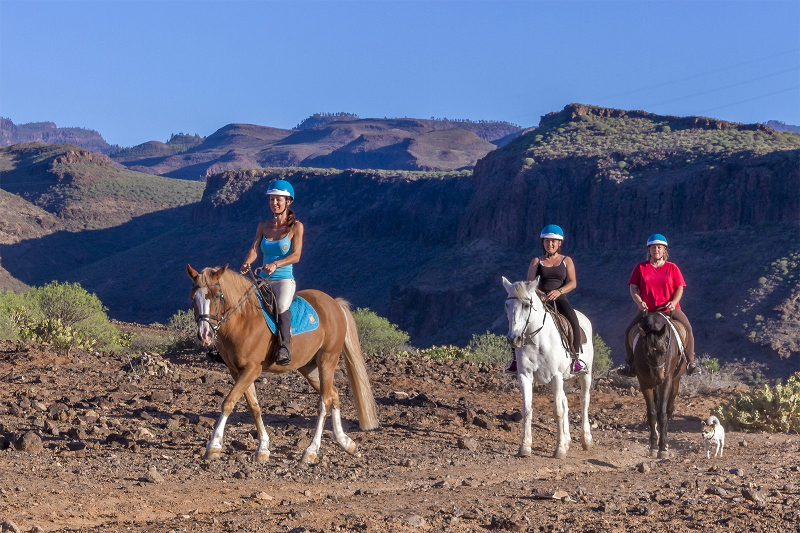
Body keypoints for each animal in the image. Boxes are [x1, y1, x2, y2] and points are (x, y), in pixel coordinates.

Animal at [186, 264, 380, 464]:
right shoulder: (237, 371)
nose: (204, 334)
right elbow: (254, 407)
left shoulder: (252, 370)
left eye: (217, 295)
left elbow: (228, 402)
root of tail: (334, 304)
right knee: (333, 393)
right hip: (308, 367)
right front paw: (263, 448)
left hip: (328, 359)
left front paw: (214, 445)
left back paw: (311, 450)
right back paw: (345, 442)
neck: (243, 320)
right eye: (193, 297)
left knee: (324, 401)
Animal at [500, 278, 592, 458]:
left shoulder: (555, 376)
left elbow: (557, 412)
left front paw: (560, 449)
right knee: (565, 401)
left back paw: (586, 440)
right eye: (507, 305)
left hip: (585, 374)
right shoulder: (525, 376)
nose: (514, 339)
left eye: (526, 305)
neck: (536, 341)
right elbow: (527, 410)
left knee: (584, 400)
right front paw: (525, 446)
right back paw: (568, 439)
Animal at [628, 312, 684, 458]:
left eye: (664, 351)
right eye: (646, 353)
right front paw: (653, 446)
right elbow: (652, 413)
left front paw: (663, 446)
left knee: (669, 408)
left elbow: (662, 413)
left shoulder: (667, 381)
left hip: (675, 381)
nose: (658, 378)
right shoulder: (644, 383)